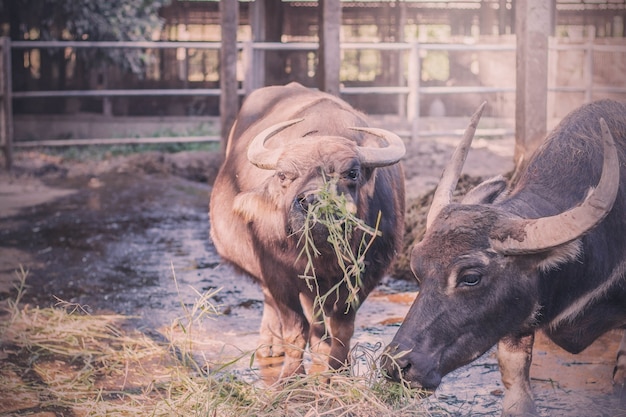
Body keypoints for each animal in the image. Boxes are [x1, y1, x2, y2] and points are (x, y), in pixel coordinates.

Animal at [210, 83, 404, 378]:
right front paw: (292, 375)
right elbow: (295, 328)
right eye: (283, 175)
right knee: (273, 304)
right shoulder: (277, 274)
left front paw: (339, 369)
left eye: (352, 173)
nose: (313, 201)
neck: (325, 255)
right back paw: (270, 345)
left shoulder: (365, 274)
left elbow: (342, 328)